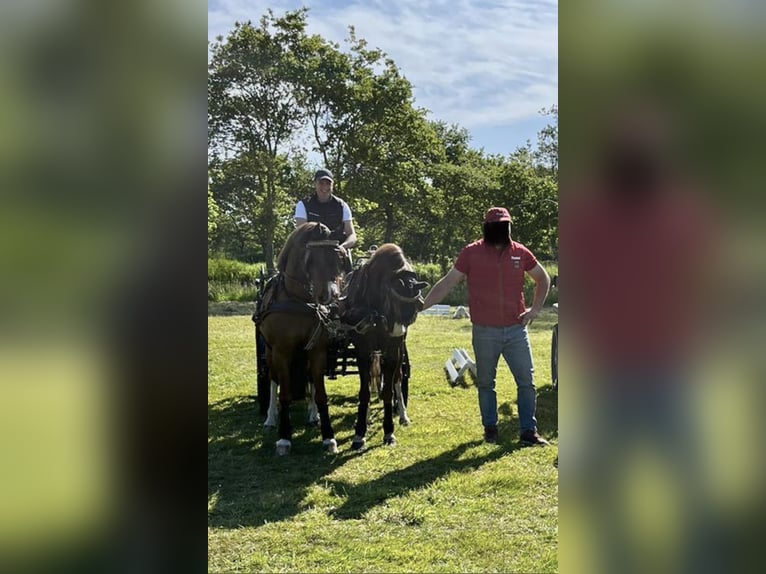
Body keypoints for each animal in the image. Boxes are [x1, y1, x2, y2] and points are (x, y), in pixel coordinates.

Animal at [256, 223, 344, 456]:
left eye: (338, 257)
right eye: (311, 257)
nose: (329, 295)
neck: (299, 300)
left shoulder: (317, 351)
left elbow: (320, 393)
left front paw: (328, 436)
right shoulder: (281, 352)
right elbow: (285, 394)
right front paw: (284, 438)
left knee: (310, 379)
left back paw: (313, 415)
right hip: (269, 354)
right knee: (273, 381)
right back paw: (270, 418)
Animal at [344, 243, 428, 450]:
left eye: (413, 312)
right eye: (394, 303)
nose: (398, 332)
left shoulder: (393, 351)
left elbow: (389, 391)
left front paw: (389, 432)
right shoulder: (363, 350)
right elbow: (364, 392)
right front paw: (359, 433)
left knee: (397, 378)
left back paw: (403, 415)